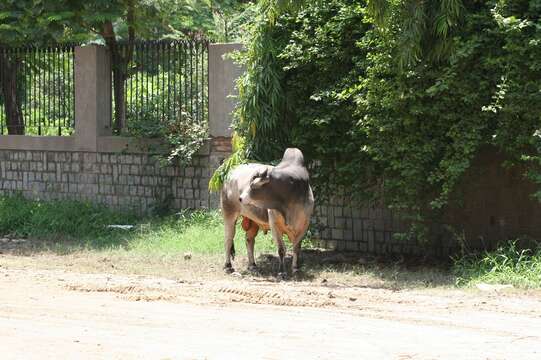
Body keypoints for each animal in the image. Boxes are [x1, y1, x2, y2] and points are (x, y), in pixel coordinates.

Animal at [219, 147, 314, 276]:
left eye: (253, 185)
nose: (240, 198)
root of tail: (230, 173)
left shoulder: (304, 225)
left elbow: (297, 248)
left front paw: (295, 268)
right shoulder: (274, 224)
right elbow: (281, 249)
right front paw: (281, 272)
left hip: (253, 220)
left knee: (249, 240)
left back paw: (252, 265)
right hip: (229, 213)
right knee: (228, 240)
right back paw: (228, 266)